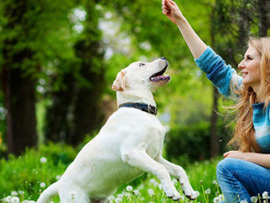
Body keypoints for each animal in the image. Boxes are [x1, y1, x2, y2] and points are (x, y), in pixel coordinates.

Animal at [36, 57, 198, 203]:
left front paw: (189, 191)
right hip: (77, 200)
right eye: (142, 64)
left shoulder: (155, 156)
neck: (139, 109)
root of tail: (60, 183)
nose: (164, 57)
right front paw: (172, 192)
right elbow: (160, 170)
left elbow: (179, 168)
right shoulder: (133, 152)